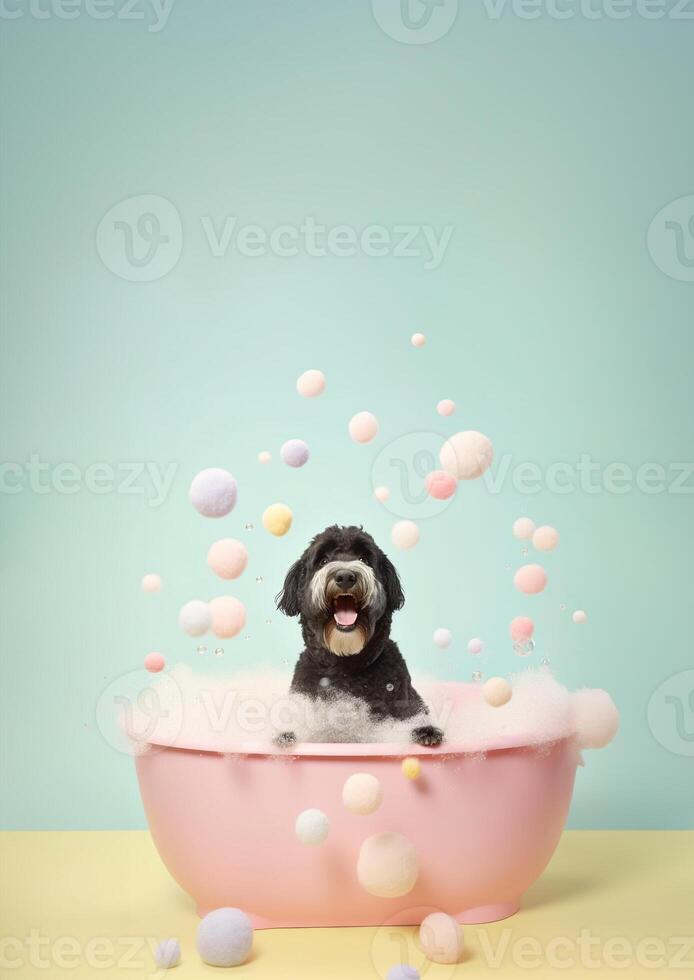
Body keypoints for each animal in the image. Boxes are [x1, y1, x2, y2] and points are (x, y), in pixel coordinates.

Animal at [276, 524, 446, 748]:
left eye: (364, 558)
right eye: (323, 560)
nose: (345, 576)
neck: (345, 666)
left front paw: (424, 731)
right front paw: (286, 735)